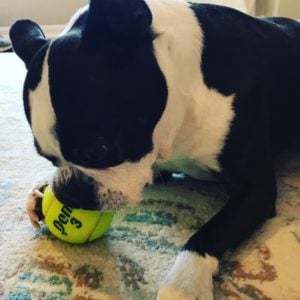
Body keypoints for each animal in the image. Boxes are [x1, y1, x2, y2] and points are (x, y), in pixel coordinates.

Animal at [9, 0, 300, 298]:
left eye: (98, 150)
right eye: (48, 159)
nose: (68, 193)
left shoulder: (256, 190)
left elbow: (211, 232)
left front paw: (183, 283)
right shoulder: (155, 168)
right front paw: (43, 190)